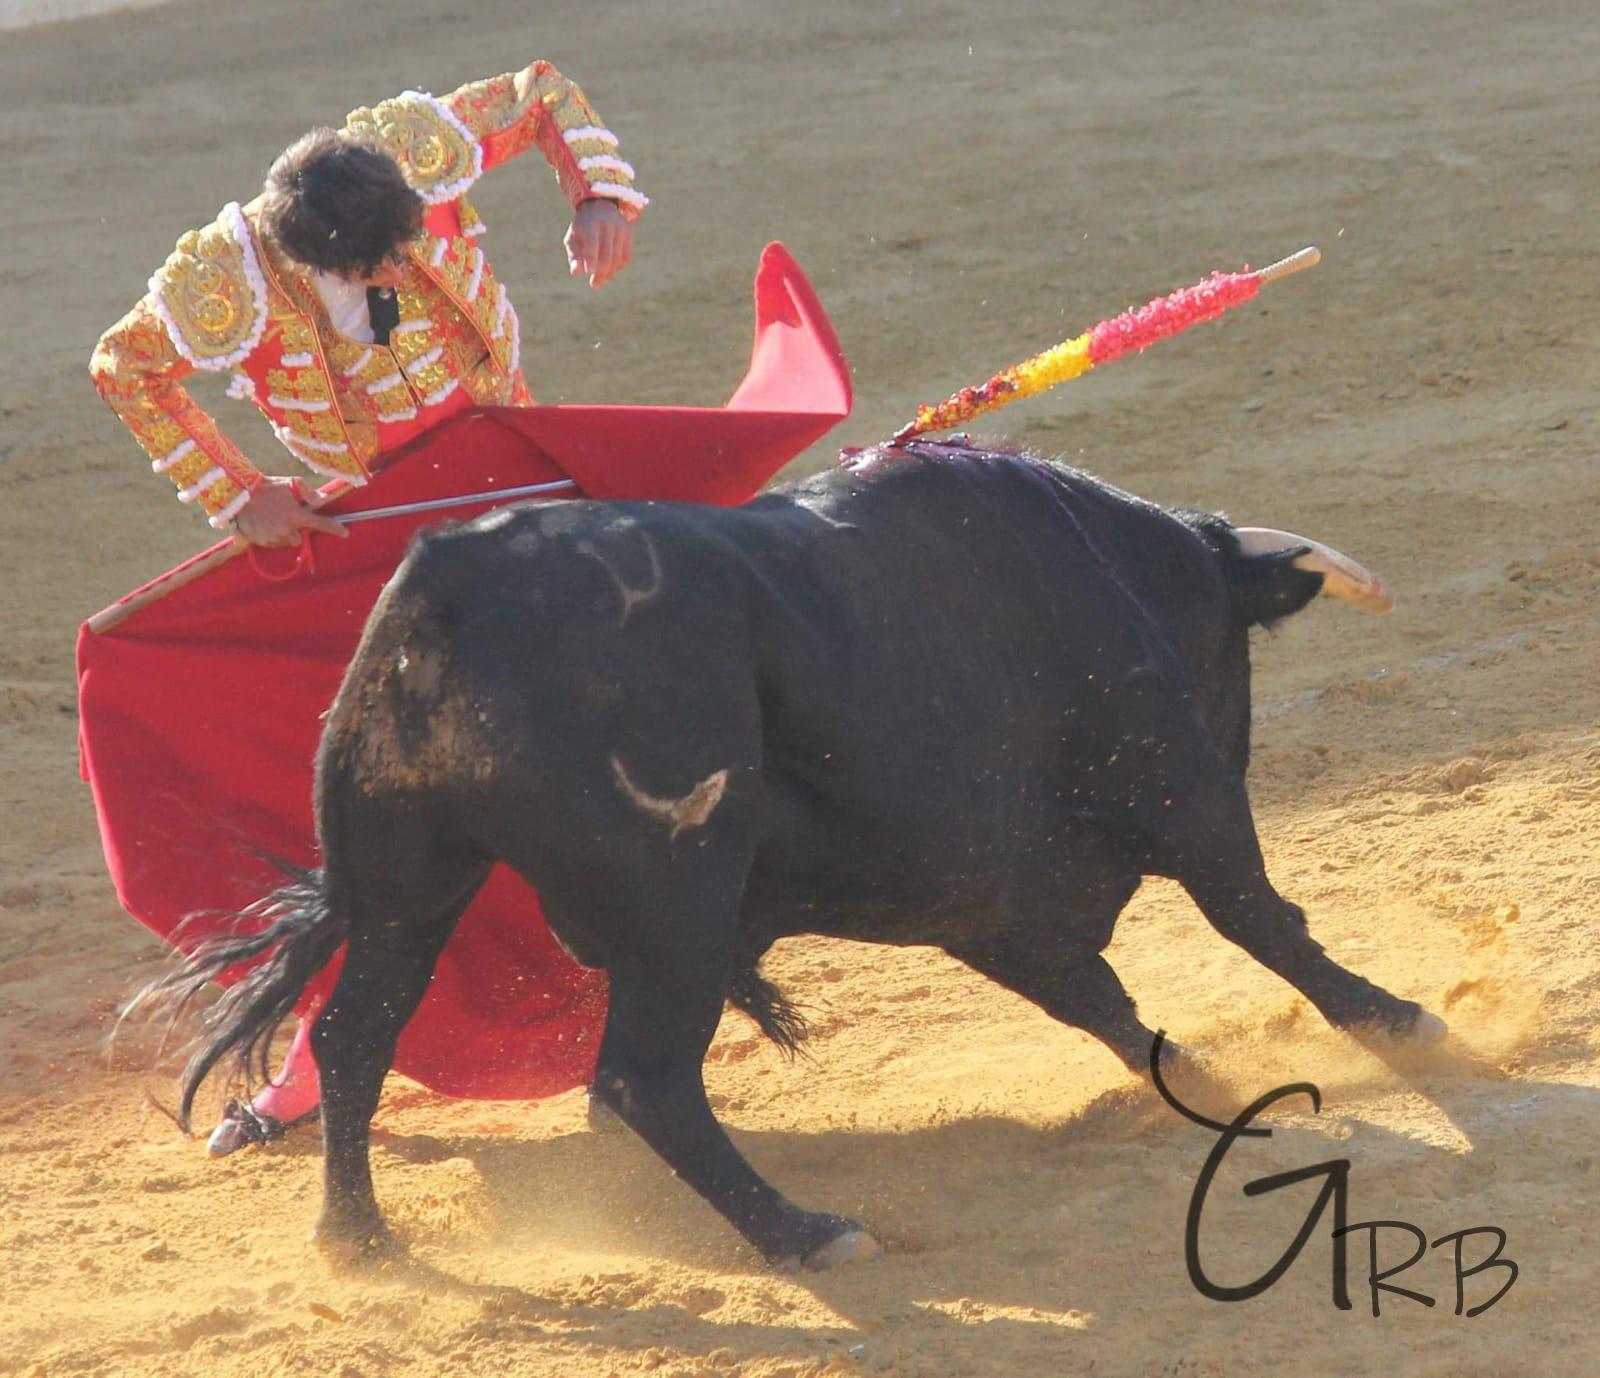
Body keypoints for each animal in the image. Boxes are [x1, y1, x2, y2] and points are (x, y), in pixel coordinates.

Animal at [142, 438, 1445, 1272]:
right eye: (1233, 653)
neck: (1118, 569)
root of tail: (442, 591)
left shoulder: (987, 901)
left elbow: (1099, 997)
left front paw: (1199, 1080)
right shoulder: (1172, 784)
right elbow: (1256, 914)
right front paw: (1401, 1017)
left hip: (414, 879)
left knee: (355, 1035)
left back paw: (358, 1238)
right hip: (675, 896)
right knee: (643, 1080)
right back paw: (807, 1233)